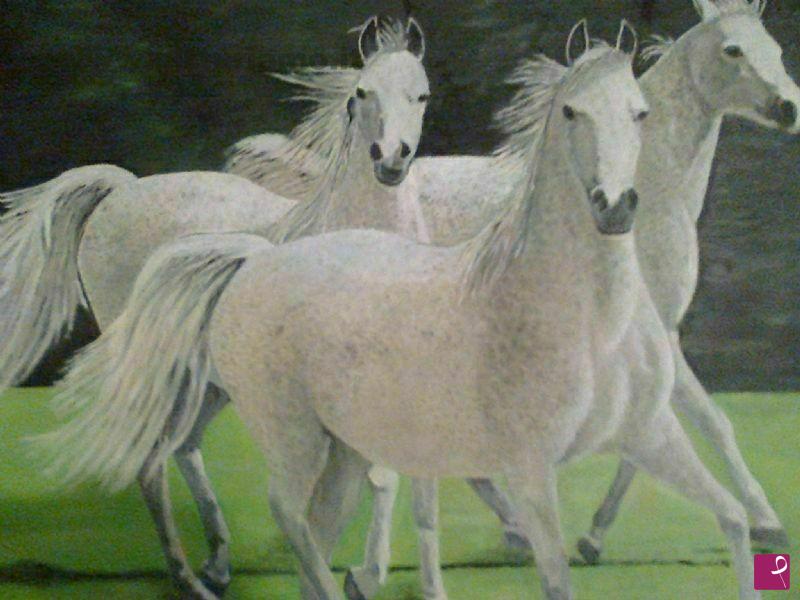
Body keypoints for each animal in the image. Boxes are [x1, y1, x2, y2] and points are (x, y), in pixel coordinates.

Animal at [39, 34, 759, 600]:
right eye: (571, 111)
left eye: (640, 112)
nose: (615, 205)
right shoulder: (519, 456)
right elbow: (528, 556)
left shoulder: (638, 426)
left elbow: (723, 504)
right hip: (269, 420)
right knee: (240, 493)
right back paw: (201, 574)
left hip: (276, 418)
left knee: (245, 486)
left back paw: (216, 566)